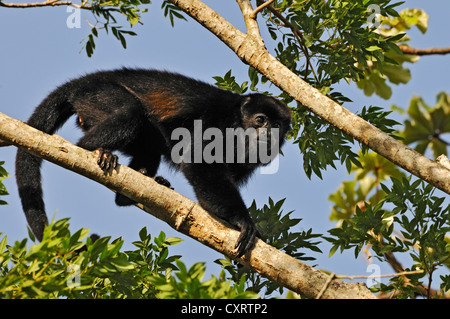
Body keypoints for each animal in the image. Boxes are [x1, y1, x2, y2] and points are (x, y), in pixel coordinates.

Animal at [14, 69, 292, 258]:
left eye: (277, 125)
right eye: (260, 120)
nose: (269, 133)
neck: (238, 122)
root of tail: (85, 81)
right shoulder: (219, 123)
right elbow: (198, 162)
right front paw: (244, 221)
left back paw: (134, 188)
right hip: (97, 96)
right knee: (130, 112)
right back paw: (95, 149)